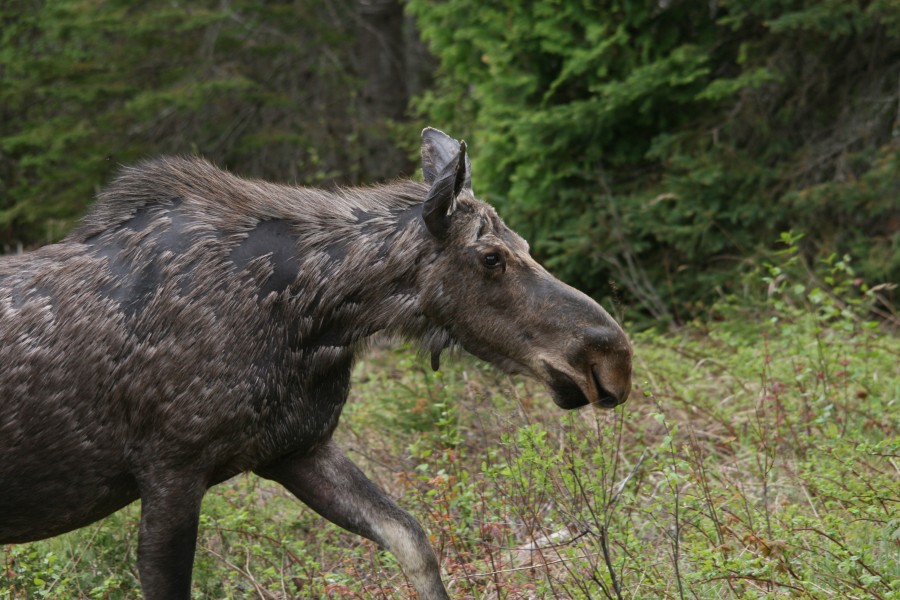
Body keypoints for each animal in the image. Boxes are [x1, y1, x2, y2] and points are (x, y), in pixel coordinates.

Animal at [0, 129, 632, 596]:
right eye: (492, 257)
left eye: (521, 244)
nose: (613, 356)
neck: (315, 322)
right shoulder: (170, 467)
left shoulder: (296, 448)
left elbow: (413, 542)